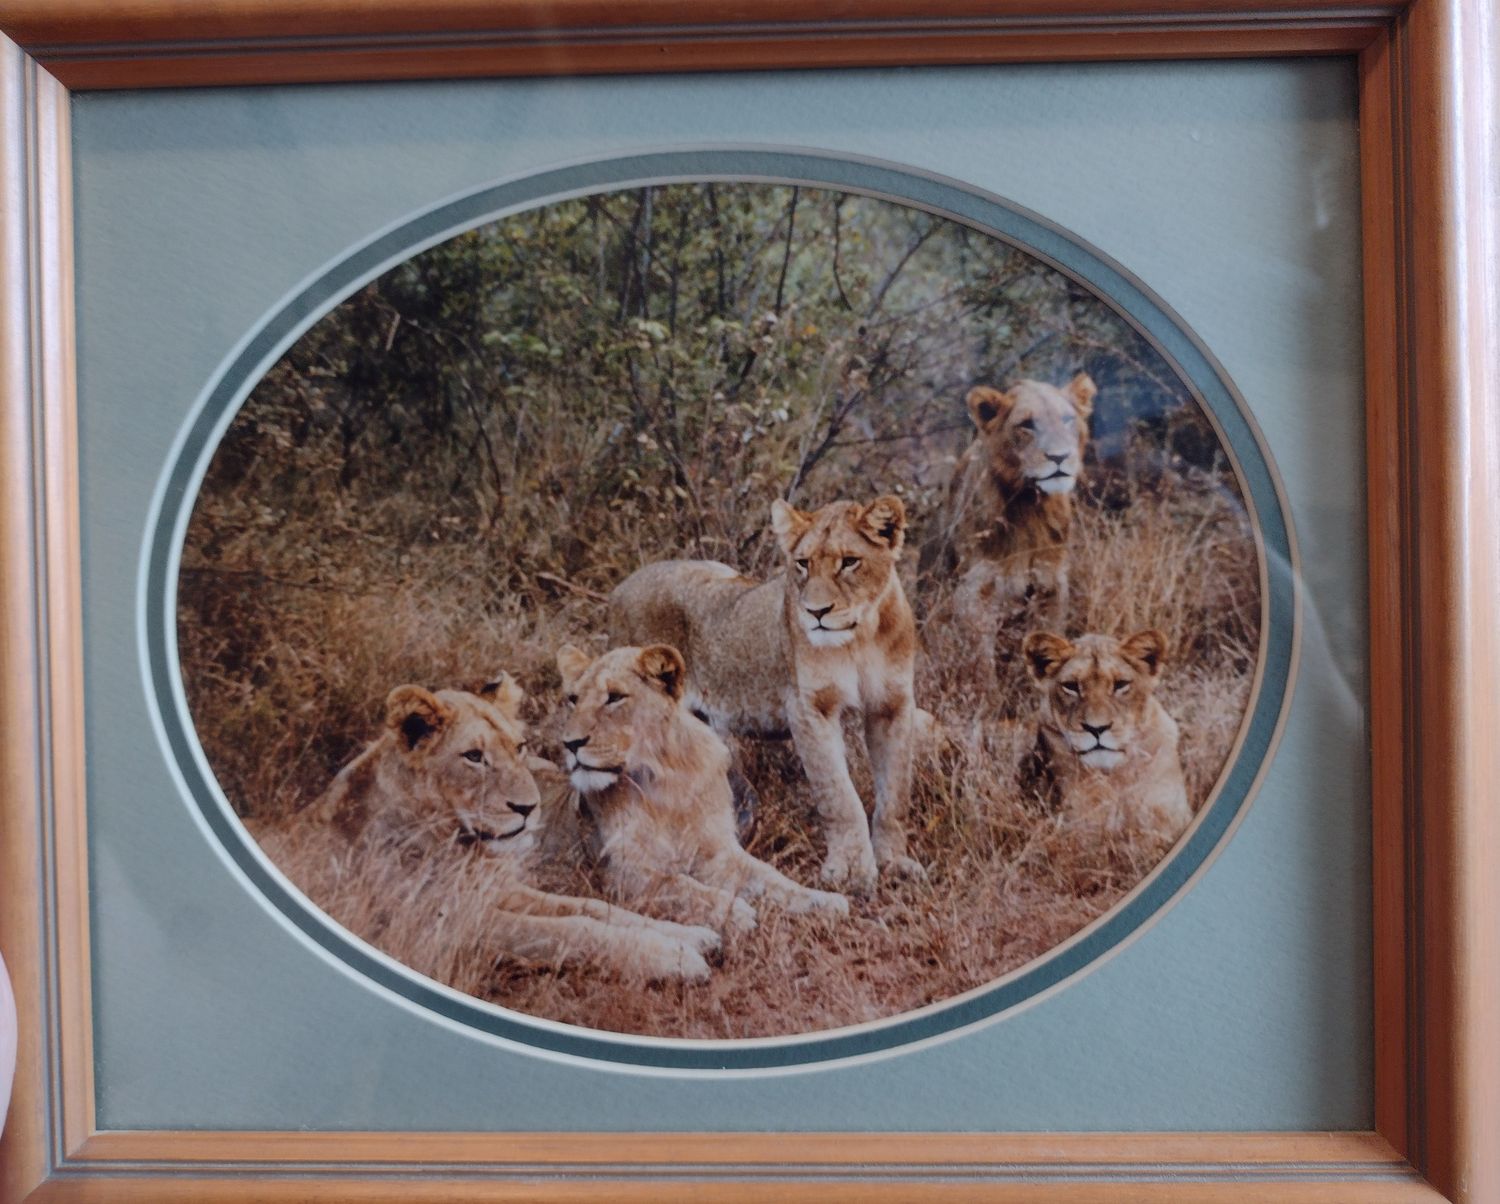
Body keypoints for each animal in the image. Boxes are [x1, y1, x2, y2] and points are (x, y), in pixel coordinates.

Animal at [306, 675, 721, 982]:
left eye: (519, 747)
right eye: (474, 756)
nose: (527, 808)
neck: (461, 845)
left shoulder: (495, 890)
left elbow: (592, 907)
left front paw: (692, 935)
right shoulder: (443, 926)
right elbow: (571, 929)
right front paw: (672, 956)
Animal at [555, 643, 851, 930]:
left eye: (615, 697)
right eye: (574, 699)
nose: (569, 743)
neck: (664, 779)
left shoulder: (717, 853)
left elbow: (771, 877)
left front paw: (823, 901)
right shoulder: (622, 870)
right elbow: (679, 886)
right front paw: (734, 912)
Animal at [608, 495, 921, 893]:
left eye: (850, 561)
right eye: (803, 564)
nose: (816, 612)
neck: (861, 637)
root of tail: (620, 587)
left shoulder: (893, 705)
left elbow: (896, 793)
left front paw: (895, 863)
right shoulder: (809, 709)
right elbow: (838, 795)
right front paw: (850, 872)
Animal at [922, 373, 1096, 678]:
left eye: (1067, 419)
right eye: (1027, 425)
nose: (1060, 457)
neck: (1031, 508)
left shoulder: (1051, 586)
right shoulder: (975, 593)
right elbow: (982, 666)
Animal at [1020, 628, 1192, 841]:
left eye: (1121, 684)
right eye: (1071, 686)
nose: (1097, 728)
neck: (1117, 780)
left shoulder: (1169, 817)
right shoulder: (1078, 829)